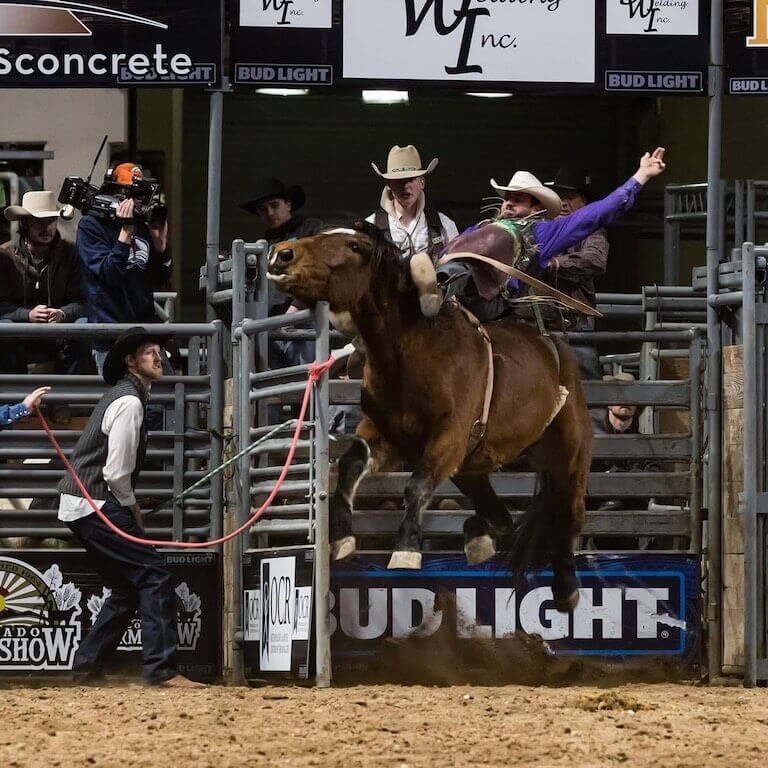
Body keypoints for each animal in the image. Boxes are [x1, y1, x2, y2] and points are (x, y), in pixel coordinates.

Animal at [270, 222, 592, 612]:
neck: (411, 353)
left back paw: (566, 589)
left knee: (570, 515)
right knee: (499, 515)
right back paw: (477, 538)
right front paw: (342, 540)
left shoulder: (448, 437)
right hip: (471, 467)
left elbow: (417, 486)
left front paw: (406, 549)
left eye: (354, 246)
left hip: (570, 453)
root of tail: (556, 349)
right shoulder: (384, 435)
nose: (283, 253)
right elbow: (349, 465)